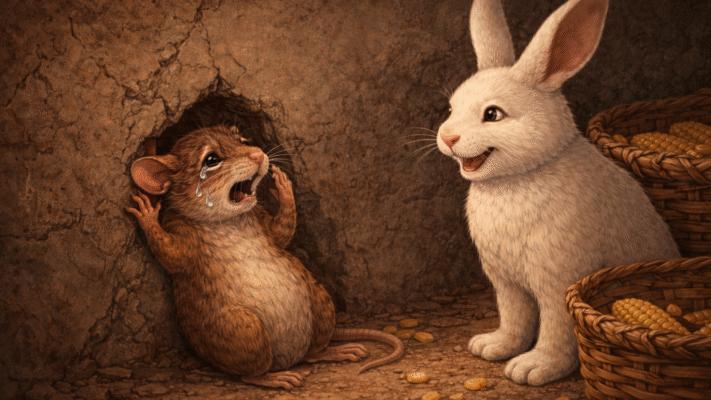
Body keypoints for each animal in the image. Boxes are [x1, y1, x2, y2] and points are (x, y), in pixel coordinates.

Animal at [435, 0, 680, 386]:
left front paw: (533, 368)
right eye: (450, 108)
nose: (447, 137)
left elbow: (556, 327)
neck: (520, 176)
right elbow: (515, 317)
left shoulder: (559, 280)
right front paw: (494, 347)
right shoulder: (506, 284)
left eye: (493, 114)